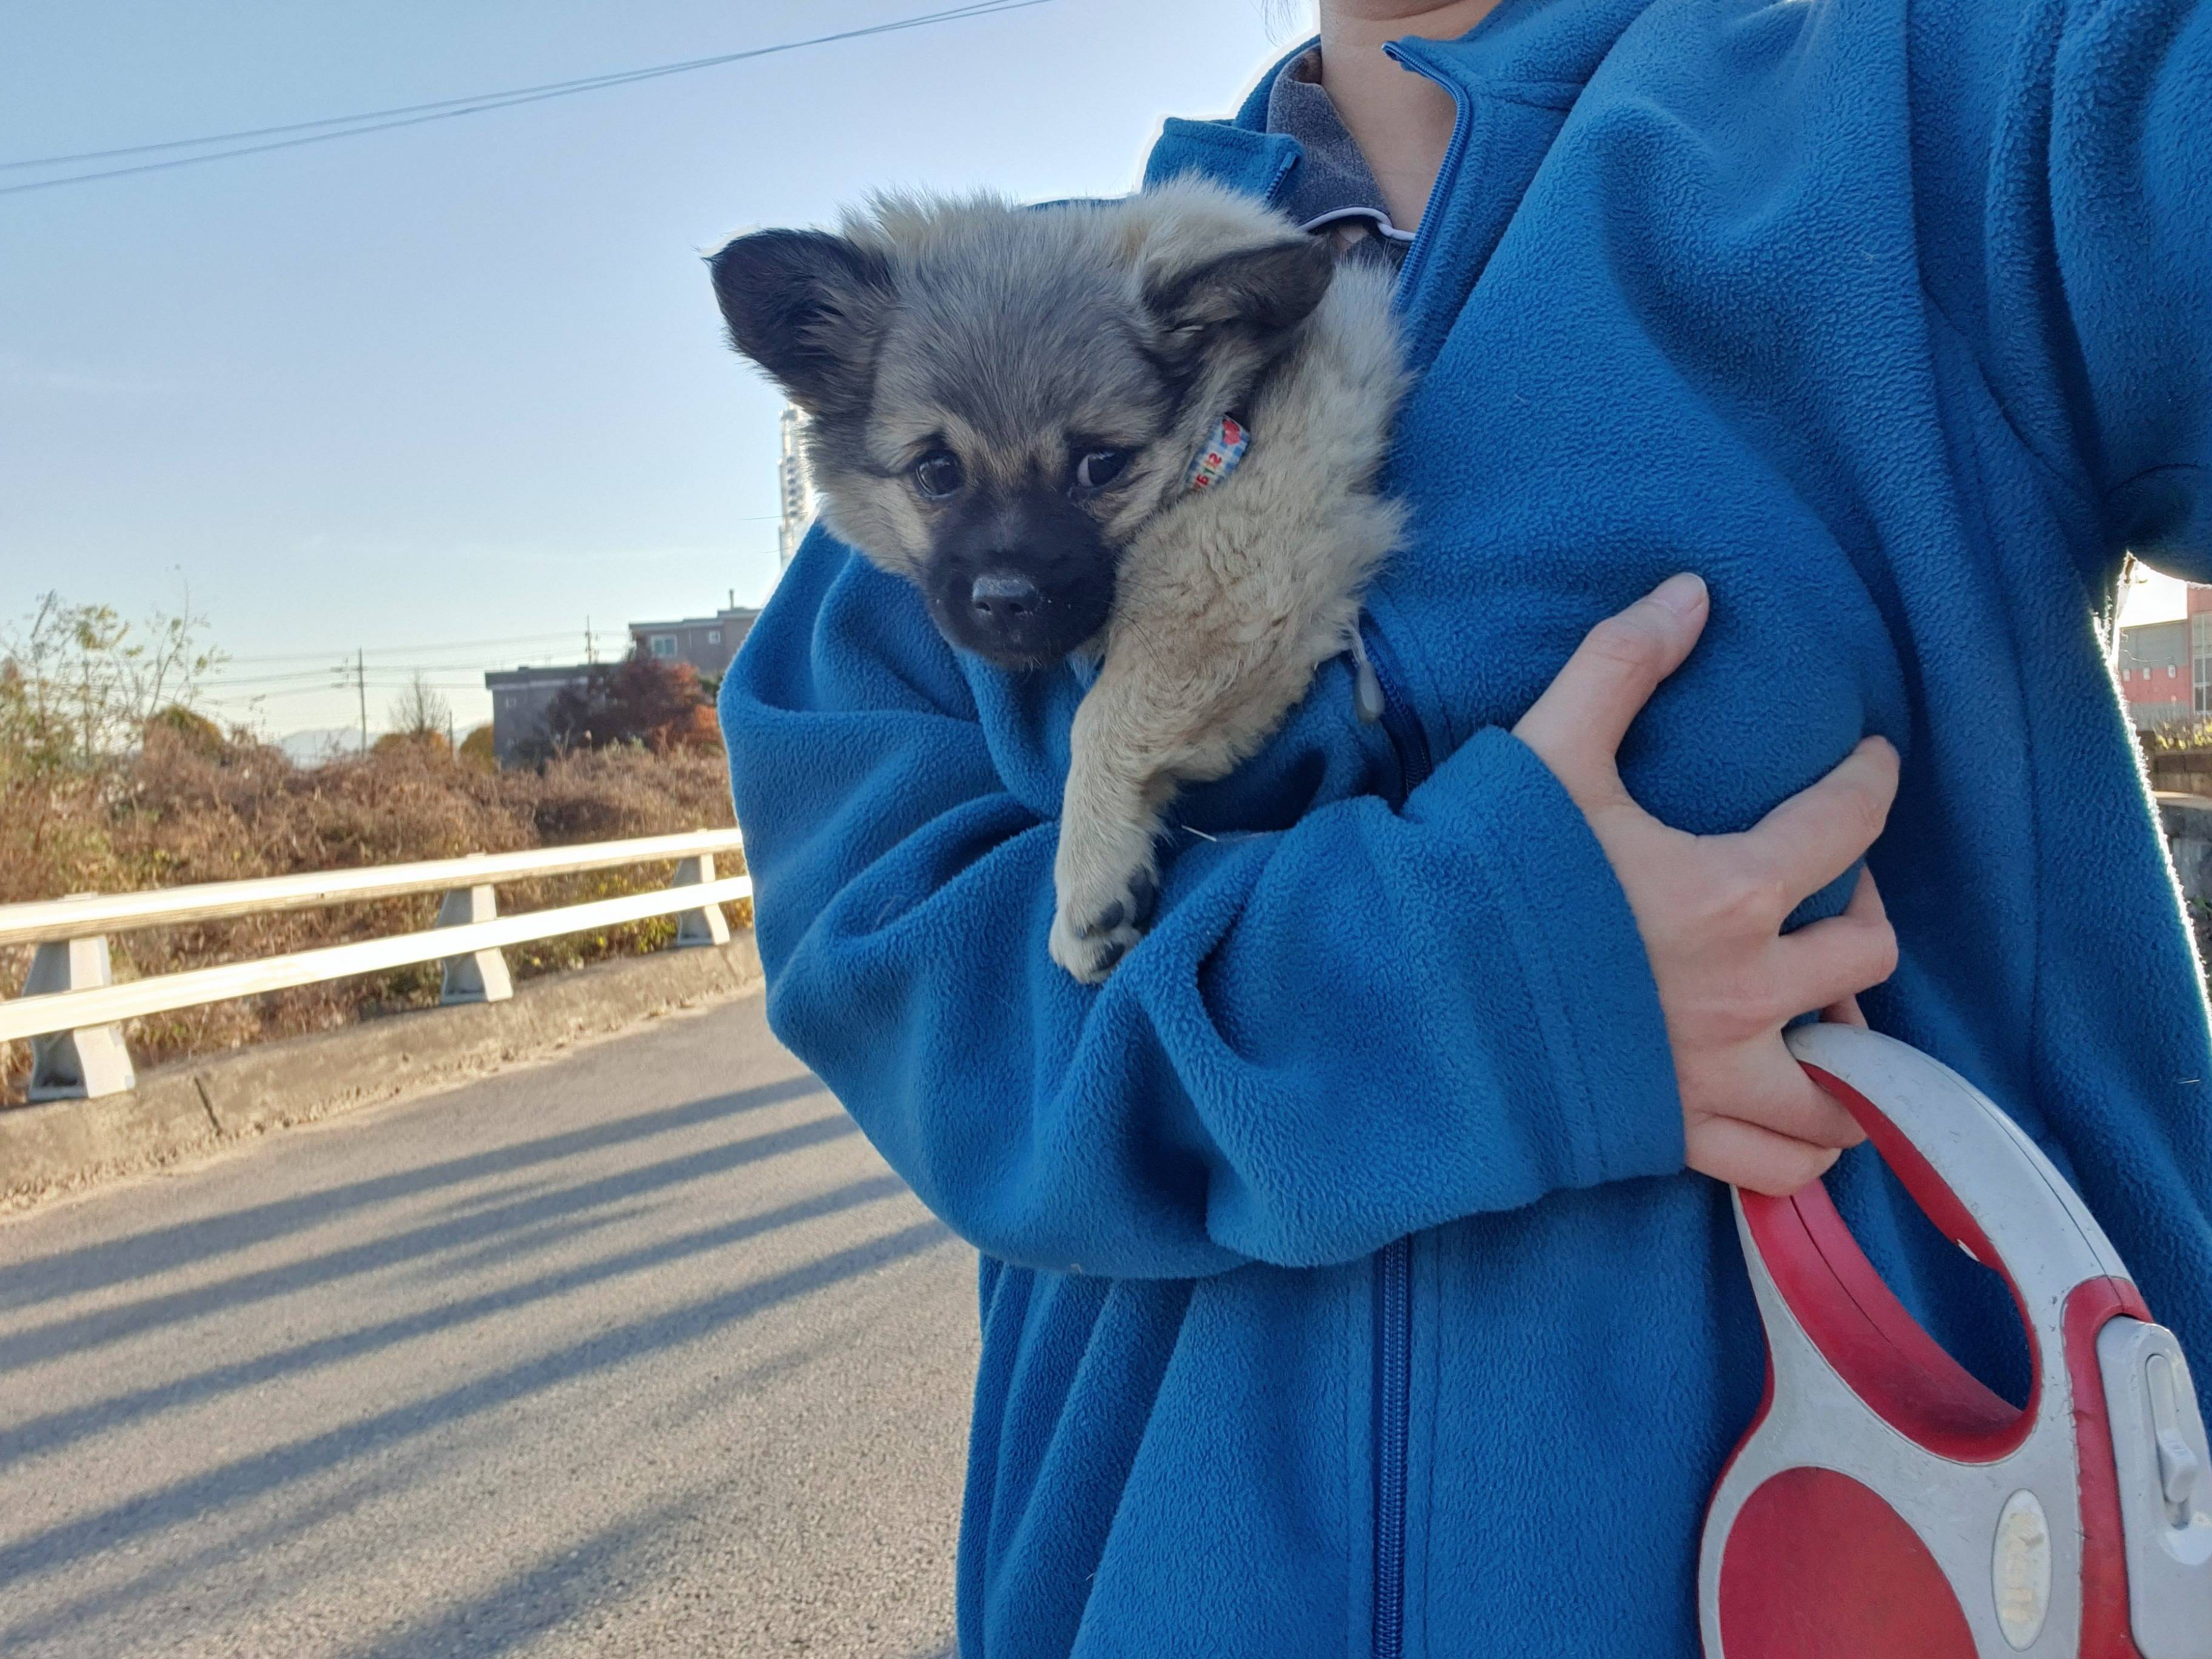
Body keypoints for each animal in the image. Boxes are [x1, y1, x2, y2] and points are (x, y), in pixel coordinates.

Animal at [708, 181, 1398, 987]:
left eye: (1102, 464)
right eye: (936, 472)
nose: (1006, 600)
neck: (1231, 419)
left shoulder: (1244, 564)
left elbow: (1104, 717)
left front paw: (1090, 874)